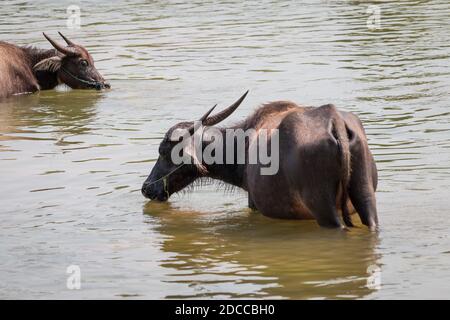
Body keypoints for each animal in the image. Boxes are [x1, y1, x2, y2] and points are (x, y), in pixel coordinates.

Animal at [142, 92, 380, 230]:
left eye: (164, 151)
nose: (146, 188)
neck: (240, 150)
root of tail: (335, 121)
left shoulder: (253, 203)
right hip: (365, 196)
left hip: (322, 206)